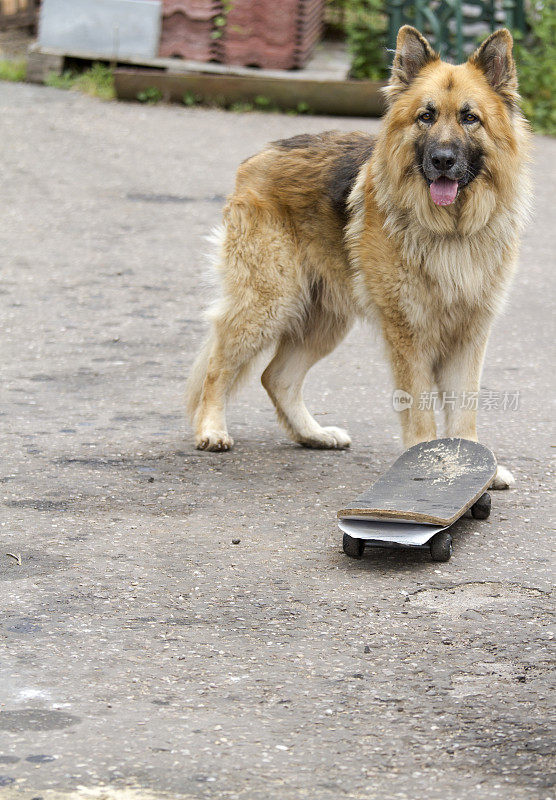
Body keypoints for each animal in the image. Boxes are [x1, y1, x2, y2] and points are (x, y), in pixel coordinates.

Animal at [187, 26, 528, 488]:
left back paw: (312, 434)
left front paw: (476, 470)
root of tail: (260, 155)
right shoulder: (409, 335)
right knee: (219, 363)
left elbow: (463, 411)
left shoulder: (470, 334)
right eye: (426, 116)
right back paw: (211, 429)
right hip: (268, 303)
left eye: (469, 118)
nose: (441, 160)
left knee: (275, 376)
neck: (451, 230)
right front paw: (424, 461)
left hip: (325, 320)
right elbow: (421, 410)